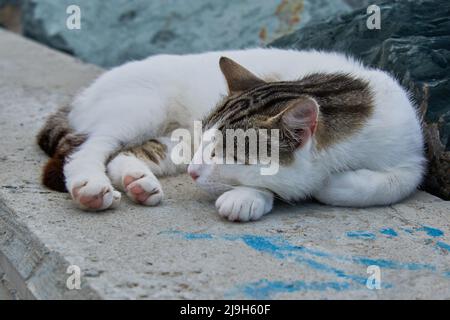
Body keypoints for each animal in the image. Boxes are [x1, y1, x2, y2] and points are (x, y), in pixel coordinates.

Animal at [37, 48, 426, 221]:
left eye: (224, 153)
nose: (194, 172)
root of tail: (83, 93)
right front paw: (253, 196)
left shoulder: (412, 155)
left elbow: (393, 183)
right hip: (137, 108)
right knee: (88, 149)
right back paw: (90, 186)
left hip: (175, 138)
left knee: (128, 154)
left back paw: (137, 181)